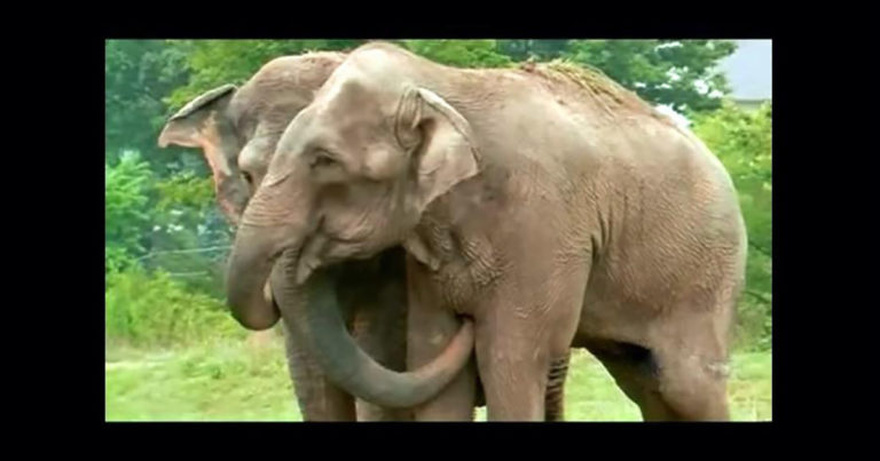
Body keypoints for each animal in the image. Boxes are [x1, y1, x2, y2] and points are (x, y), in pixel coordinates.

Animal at [223, 43, 744, 420]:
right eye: (246, 176)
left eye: (325, 161)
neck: (443, 84)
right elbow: (435, 357)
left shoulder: (542, 228)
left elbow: (510, 359)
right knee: (647, 384)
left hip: (702, 274)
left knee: (686, 384)